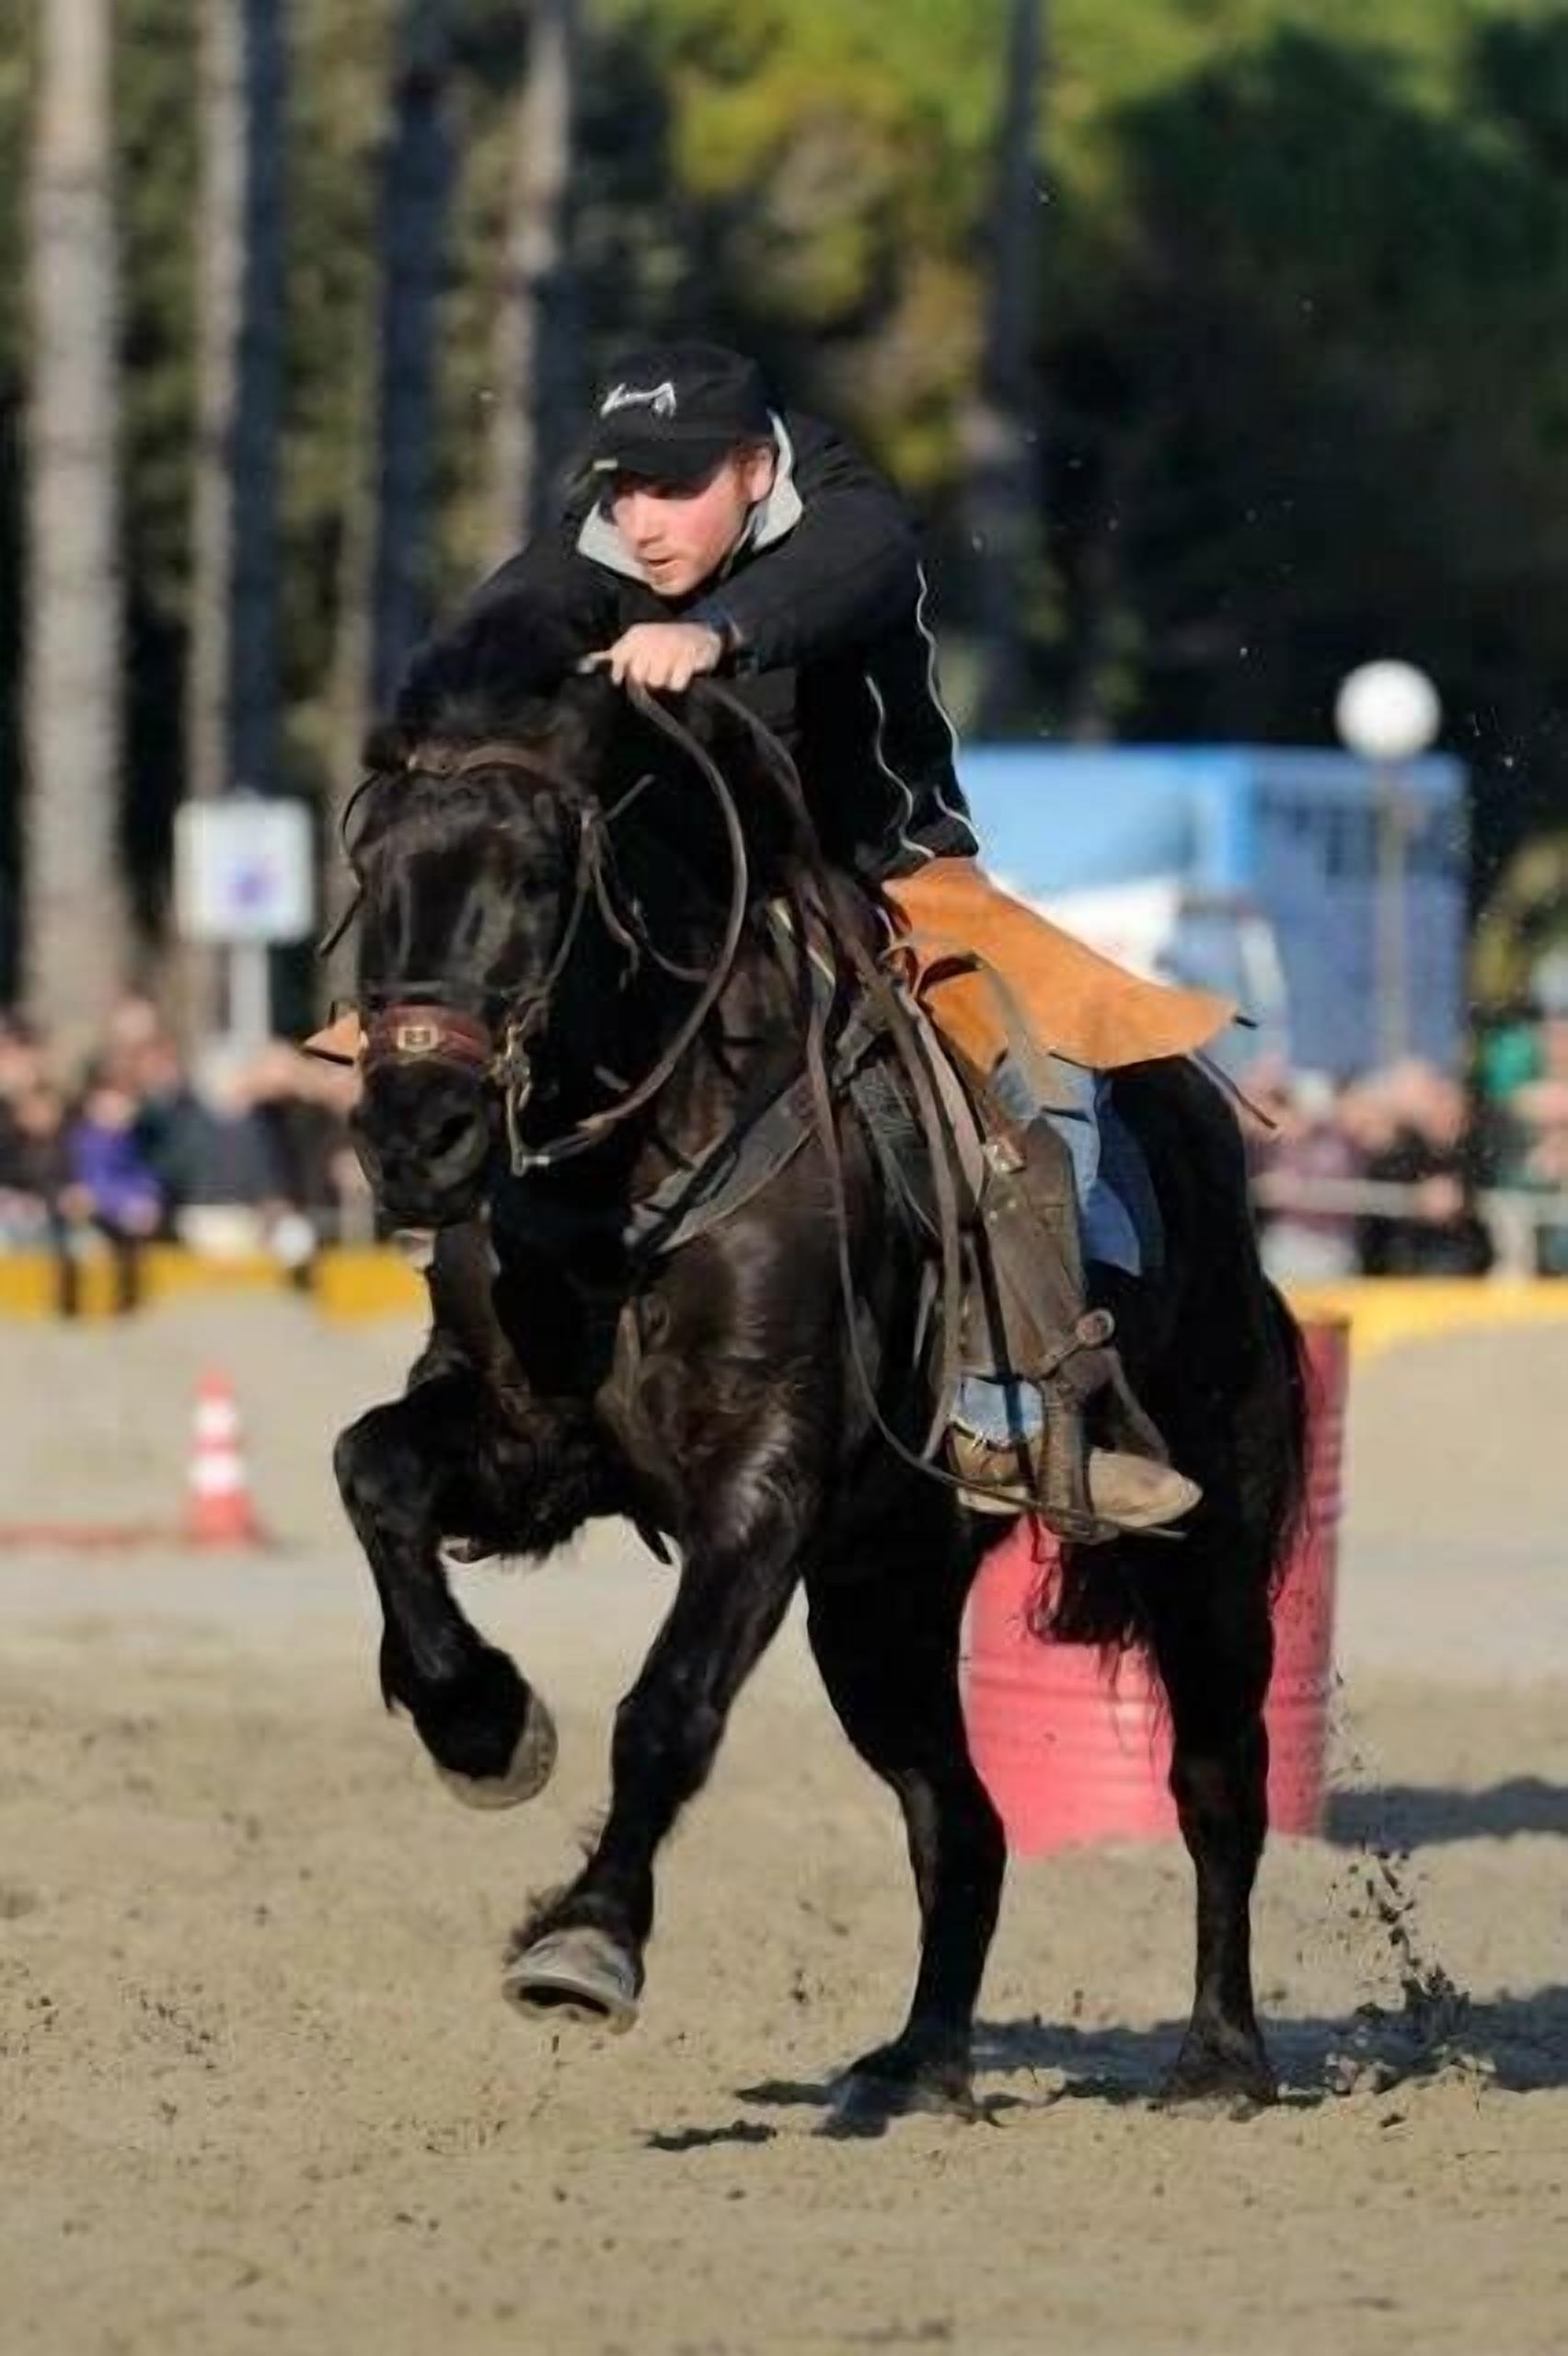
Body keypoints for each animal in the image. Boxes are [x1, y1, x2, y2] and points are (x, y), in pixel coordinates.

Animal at [330, 619, 1307, 2123]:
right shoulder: (533, 1440)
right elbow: (372, 1469)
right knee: (959, 1820)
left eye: (541, 878)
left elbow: (668, 1707)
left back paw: (1218, 2058)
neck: (648, 1157)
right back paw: (918, 2064)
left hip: (1204, 1557)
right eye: (372, 872)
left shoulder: (768, 1480)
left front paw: (586, 1942)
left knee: (1217, 1784)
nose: (414, 1135)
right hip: (880, 1601)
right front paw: (479, 1722)